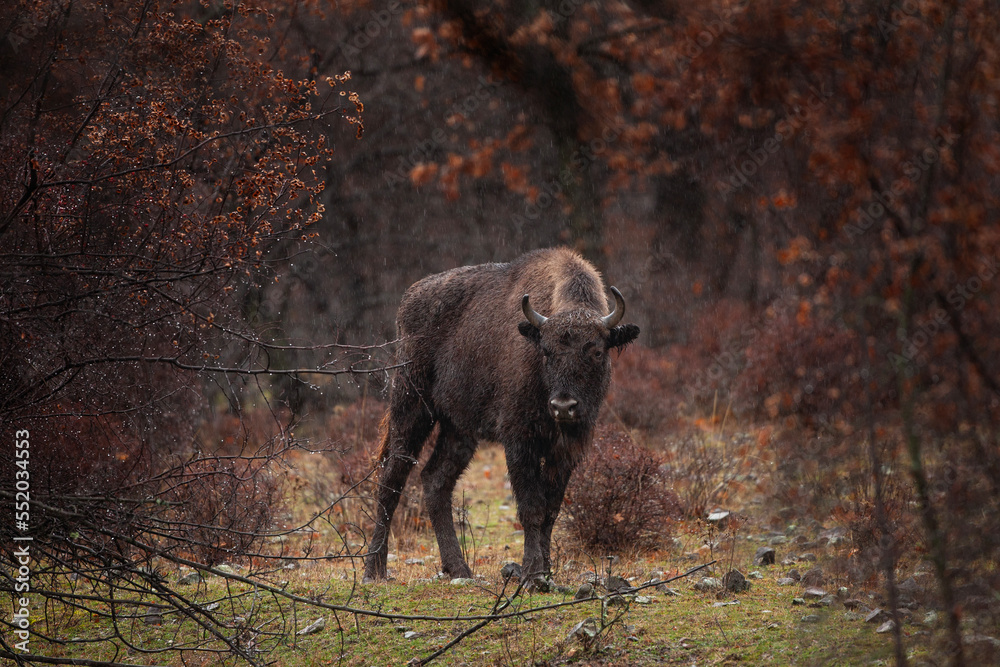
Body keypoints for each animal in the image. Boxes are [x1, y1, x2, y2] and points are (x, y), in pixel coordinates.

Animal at [363, 247, 640, 585]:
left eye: (597, 351)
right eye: (546, 351)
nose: (563, 406)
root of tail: (407, 301)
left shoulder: (567, 449)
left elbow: (551, 509)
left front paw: (546, 572)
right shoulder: (519, 440)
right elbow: (531, 508)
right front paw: (532, 574)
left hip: (459, 430)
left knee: (435, 481)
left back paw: (458, 568)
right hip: (411, 408)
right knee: (392, 479)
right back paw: (374, 570)